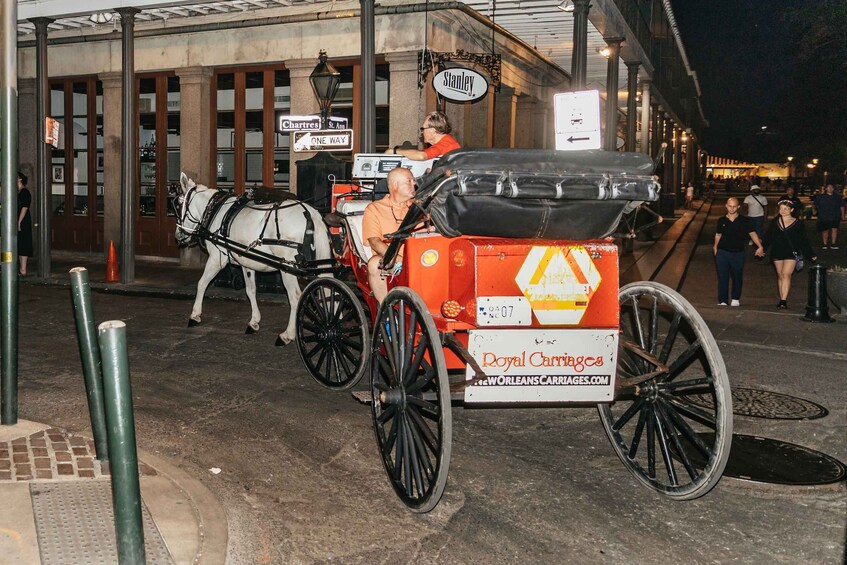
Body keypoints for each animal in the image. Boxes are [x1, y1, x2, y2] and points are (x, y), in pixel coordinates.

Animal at [177, 171, 332, 344]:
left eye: (180, 204)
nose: (179, 235)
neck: (215, 212)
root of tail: (309, 213)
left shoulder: (217, 259)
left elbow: (202, 283)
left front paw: (195, 315)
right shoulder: (247, 262)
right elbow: (250, 290)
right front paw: (254, 322)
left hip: (288, 268)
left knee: (295, 297)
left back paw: (287, 335)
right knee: (327, 290)